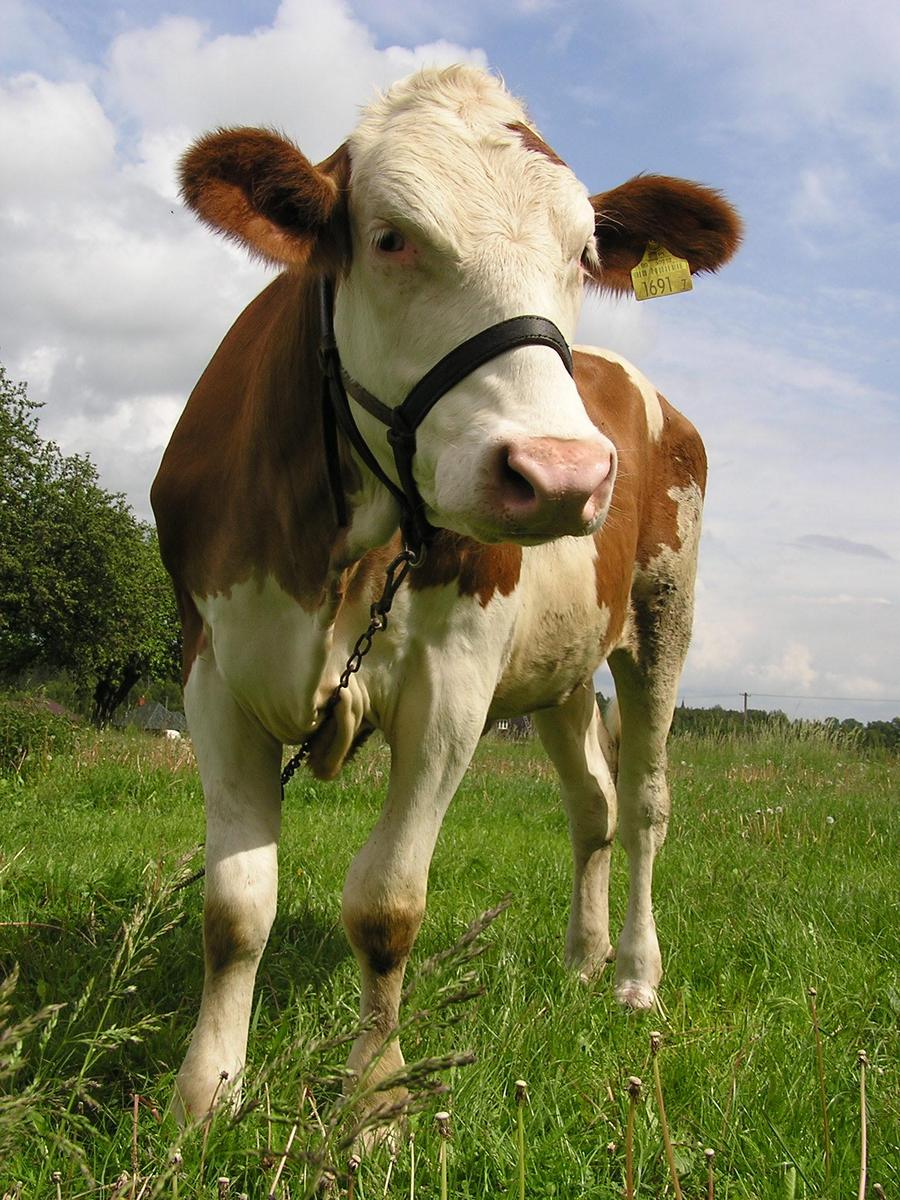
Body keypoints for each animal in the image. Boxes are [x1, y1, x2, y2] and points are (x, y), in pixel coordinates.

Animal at [153, 65, 739, 1118]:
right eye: (391, 237)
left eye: (583, 252)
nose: (562, 472)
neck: (327, 549)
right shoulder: (211, 668)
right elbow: (235, 907)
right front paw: (205, 1094)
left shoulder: (454, 682)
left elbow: (386, 905)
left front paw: (376, 1100)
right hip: (560, 669)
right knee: (591, 804)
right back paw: (582, 960)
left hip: (663, 618)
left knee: (643, 802)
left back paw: (635, 975)